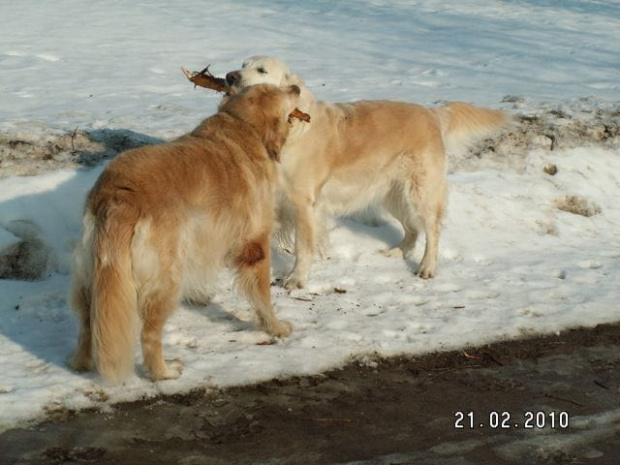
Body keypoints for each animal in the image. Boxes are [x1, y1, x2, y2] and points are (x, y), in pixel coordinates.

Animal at [70, 85, 300, 382]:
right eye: (278, 90)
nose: (296, 87)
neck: (242, 125)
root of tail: (120, 197)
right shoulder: (255, 244)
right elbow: (263, 296)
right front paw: (275, 327)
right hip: (165, 279)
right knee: (149, 334)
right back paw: (164, 372)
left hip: (94, 275)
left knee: (88, 323)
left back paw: (81, 363)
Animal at [225, 54, 512, 286]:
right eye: (242, 65)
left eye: (261, 70)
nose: (229, 76)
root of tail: (431, 113)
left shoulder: (302, 202)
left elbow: (303, 246)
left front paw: (297, 279)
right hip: (393, 193)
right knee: (412, 229)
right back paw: (397, 252)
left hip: (420, 192)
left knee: (432, 229)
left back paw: (427, 267)